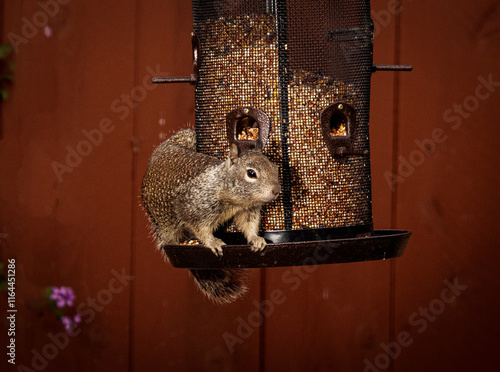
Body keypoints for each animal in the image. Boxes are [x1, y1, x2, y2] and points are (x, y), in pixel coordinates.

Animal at [142, 129, 282, 304]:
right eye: (251, 173)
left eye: (275, 167)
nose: (277, 190)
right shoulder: (194, 208)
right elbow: (201, 229)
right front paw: (213, 242)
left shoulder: (248, 211)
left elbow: (248, 225)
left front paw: (256, 239)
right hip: (165, 226)